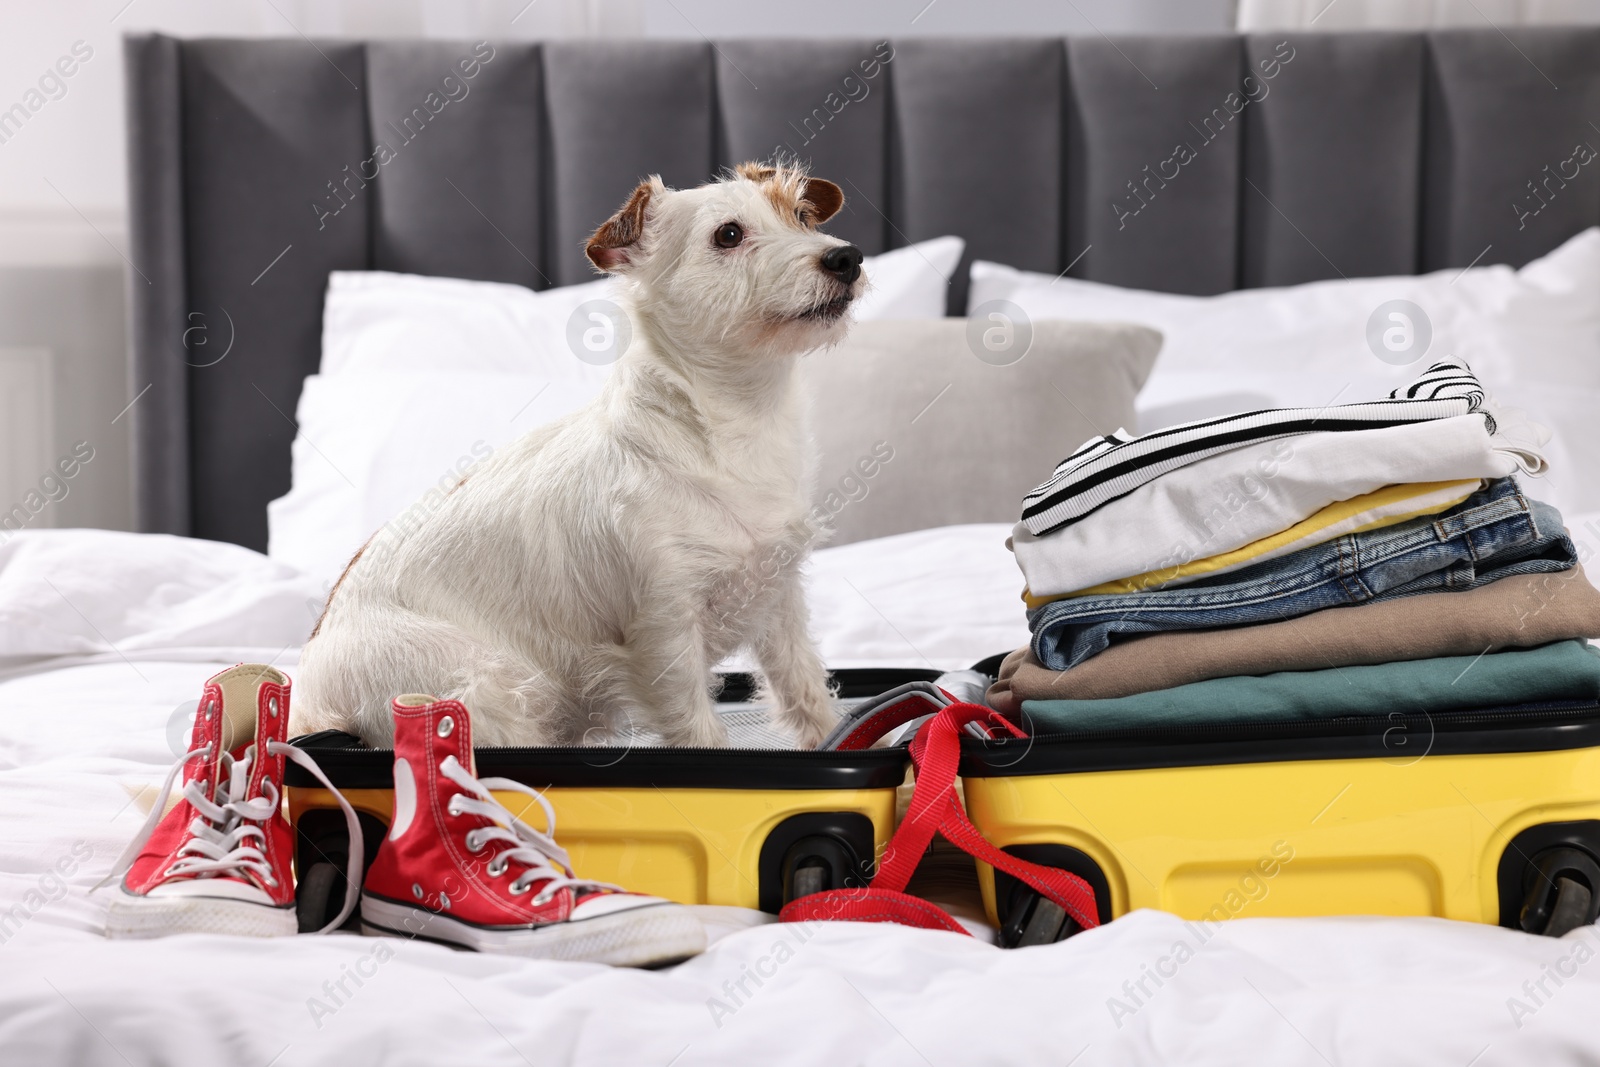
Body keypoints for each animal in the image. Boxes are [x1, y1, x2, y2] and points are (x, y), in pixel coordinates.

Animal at [288, 167, 864, 751]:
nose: (847, 257)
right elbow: (698, 730)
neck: (735, 424)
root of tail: (306, 691)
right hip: (487, 688)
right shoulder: (664, 636)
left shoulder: (780, 599)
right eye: (728, 235)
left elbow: (804, 686)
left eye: (803, 217)